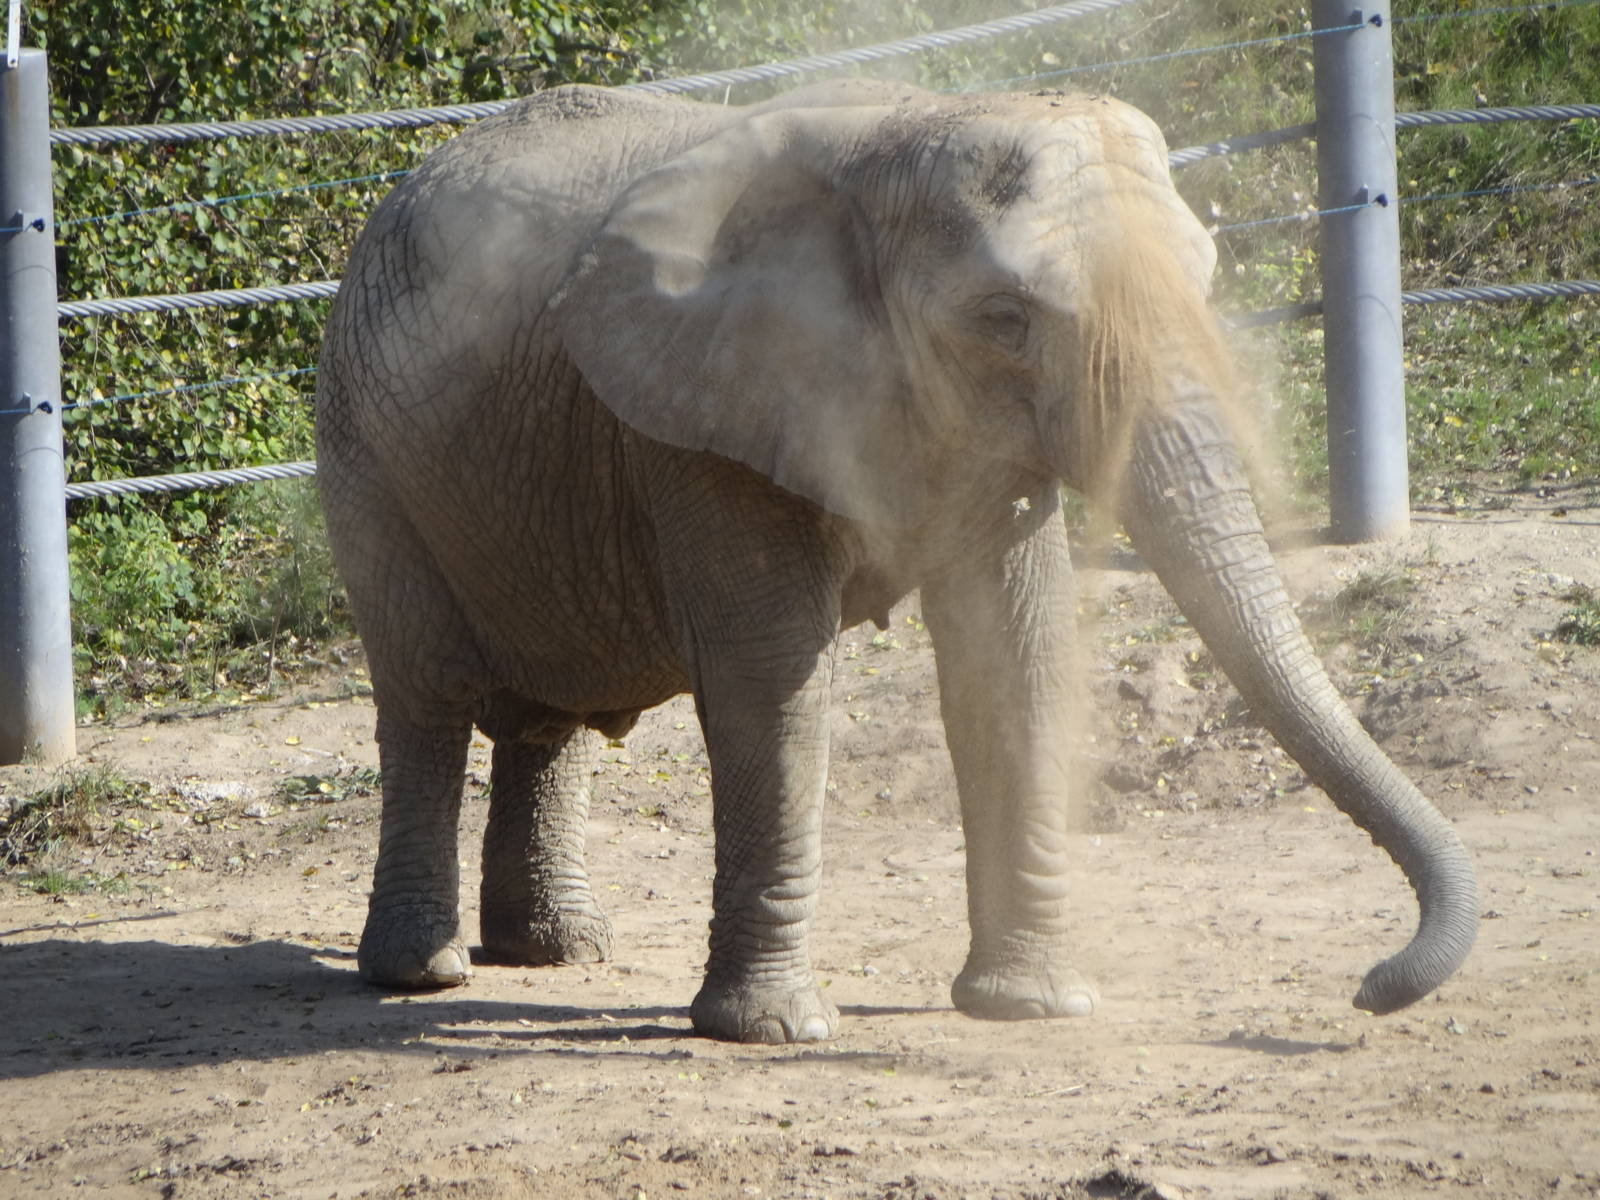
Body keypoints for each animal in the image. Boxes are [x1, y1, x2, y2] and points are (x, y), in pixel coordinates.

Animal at [315, 80, 1477, 1044]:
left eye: (1206, 279)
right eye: (1005, 319)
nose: (1368, 988)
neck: (899, 130)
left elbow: (1013, 657)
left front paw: (1030, 1009)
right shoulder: (707, 417)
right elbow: (770, 682)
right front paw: (774, 1033)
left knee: (545, 712)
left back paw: (559, 951)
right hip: (363, 443)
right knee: (427, 693)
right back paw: (424, 974)